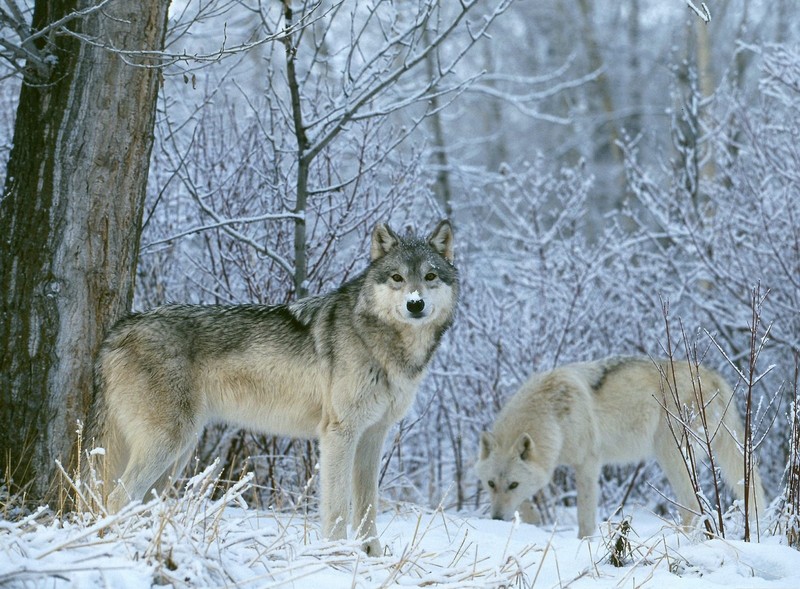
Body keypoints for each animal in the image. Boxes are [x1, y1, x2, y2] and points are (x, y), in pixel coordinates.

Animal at [87, 218, 456, 552]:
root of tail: (118, 330)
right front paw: (336, 556)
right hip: (169, 444)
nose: (415, 304)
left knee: (137, 501)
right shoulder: (339, 433)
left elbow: (367, 508)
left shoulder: (373, 436)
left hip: (178, 455)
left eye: (430, 277)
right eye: (397, 278)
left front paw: (371, 558)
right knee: (117, 495)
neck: (384, 344)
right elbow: (337, 507)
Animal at [476, 356, 768, 536]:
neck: (551, 414)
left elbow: (585, 519)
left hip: (670, 456)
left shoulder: (588, 465)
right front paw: (532, 520)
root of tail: (714, 377)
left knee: (693, 506)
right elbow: (529, 503)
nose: (496, 519)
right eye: (490, 484)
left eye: (512, 484)